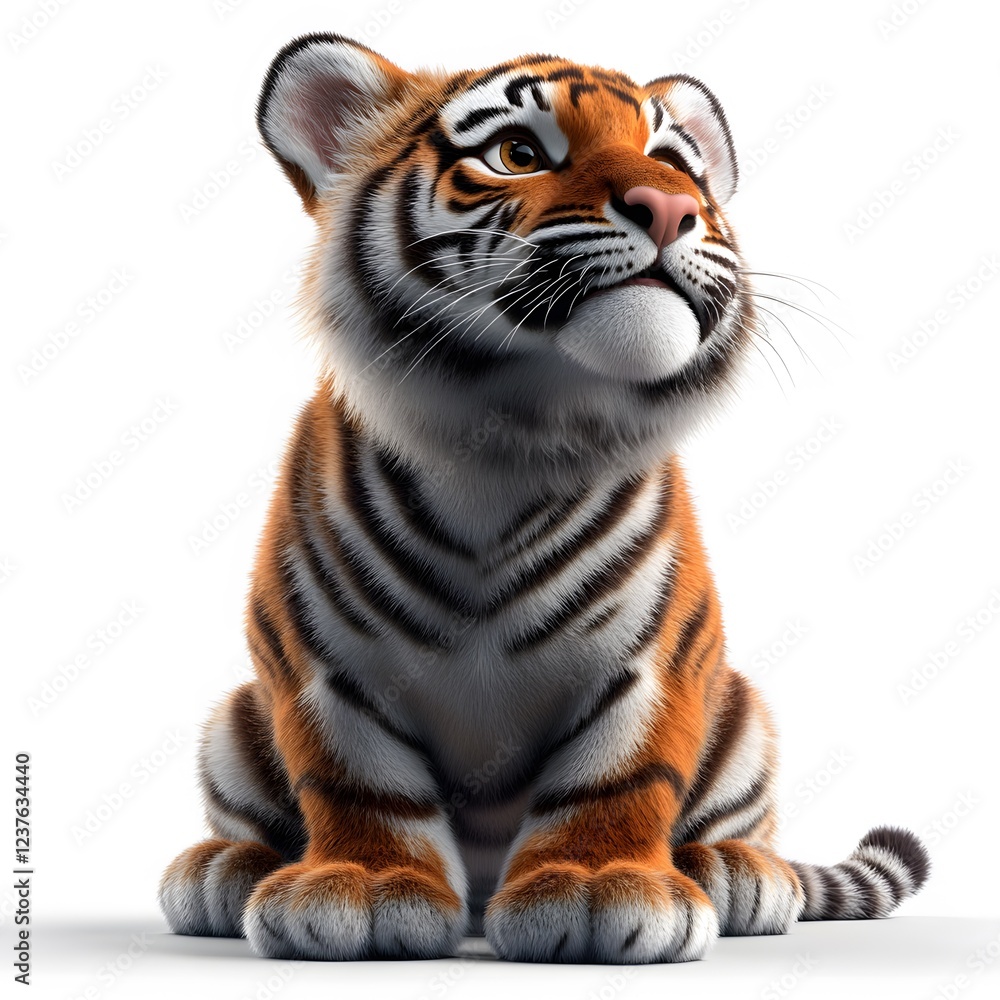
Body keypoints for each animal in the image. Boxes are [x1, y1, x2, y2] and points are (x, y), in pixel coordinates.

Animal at [158, 34, 930, 963]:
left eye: (676, 163)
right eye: (518, 154)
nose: (670, 208)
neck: (512, 430)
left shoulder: (651, 658)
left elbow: (619, 776)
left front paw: (598, 889)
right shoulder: (324, 663)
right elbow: (359, 781)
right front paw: (368, 889)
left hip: (742, 714)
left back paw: (733, 873)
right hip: (235, 717)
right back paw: (225, 870)